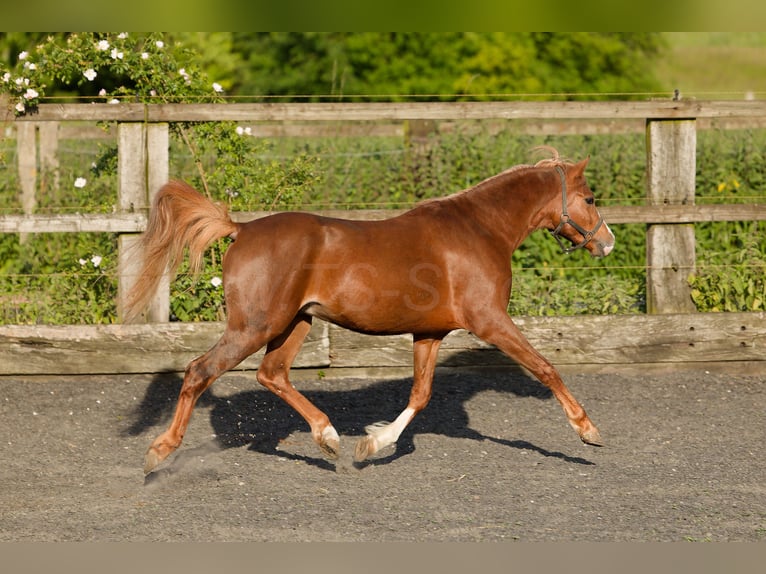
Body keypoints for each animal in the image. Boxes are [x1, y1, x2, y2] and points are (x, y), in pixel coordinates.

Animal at [126, 146, 616, 474]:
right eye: (590, 198)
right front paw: (588, 431)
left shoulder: (430, 333)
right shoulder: (490, 321)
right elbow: (546, 367)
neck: (481, 230)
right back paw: (157, 453)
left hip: (296, 322)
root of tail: (240, 231)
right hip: (255, 326)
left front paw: (371, 445)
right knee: (199, 370)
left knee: (272, 374)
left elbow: (420, 395)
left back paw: (328, 439)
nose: (607, 243)